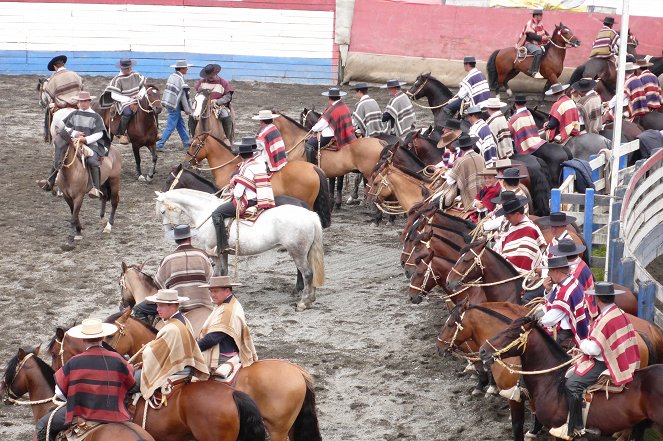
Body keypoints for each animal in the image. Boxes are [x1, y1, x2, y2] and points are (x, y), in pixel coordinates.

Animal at [153, 187, 324, 312]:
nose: (169, 232)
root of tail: (310, 215)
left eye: (163, 211)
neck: (205, 212)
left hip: (297, 252)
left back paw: (303, 303)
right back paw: (311, 299)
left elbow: (217, 273)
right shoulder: (223, 252)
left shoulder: (212, 252)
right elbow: (224, 272)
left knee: (307, 273)